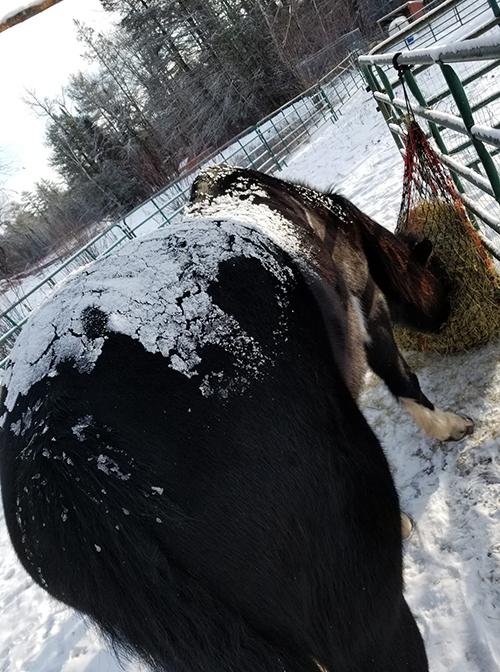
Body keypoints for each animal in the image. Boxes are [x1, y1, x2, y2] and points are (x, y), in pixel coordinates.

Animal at [0, 167, 472, 672]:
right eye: (438, 273)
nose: (448, 313)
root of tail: (57, 440)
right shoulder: (372, 313)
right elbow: (402, 379)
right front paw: (449, 429)